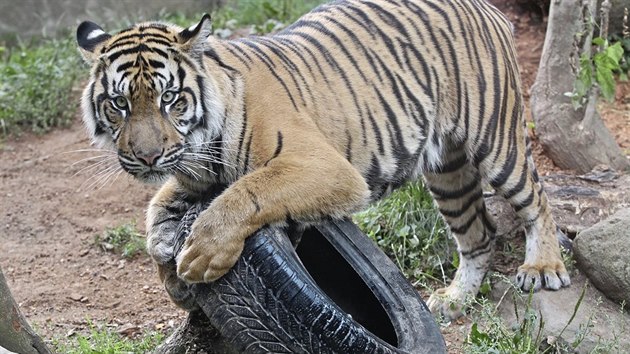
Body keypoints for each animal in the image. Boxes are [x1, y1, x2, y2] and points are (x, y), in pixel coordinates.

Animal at [76, 0, 572, 320]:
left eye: (169, 99)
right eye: (119, 104)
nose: (147, 156)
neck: (199, 150)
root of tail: (487, 8)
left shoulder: (326, 167)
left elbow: (247, 191)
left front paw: (202, 255)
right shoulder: (188, 175)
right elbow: (155, 212)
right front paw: (172, 275)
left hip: (497, 140)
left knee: (537, 199)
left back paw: (542, 269)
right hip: (448, 172)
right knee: (478, 234)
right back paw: (453, 301)